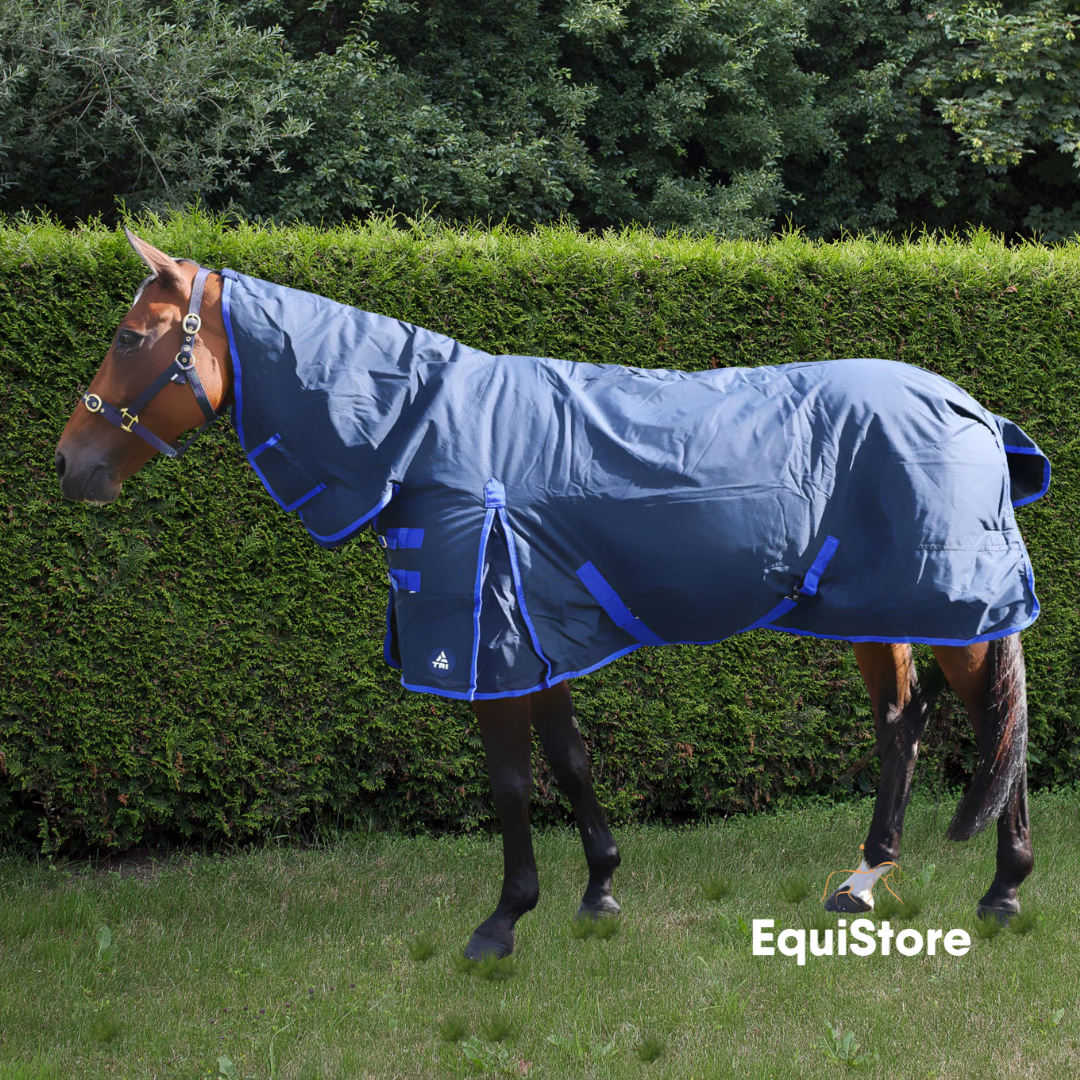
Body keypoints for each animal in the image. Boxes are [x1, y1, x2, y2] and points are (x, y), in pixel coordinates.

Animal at [55, 230, 1048, 960]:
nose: (70, 466)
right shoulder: (533, 631)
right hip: (886, 610)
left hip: (956, 609)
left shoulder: (483, 636)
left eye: (131, 338)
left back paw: (1003, 890)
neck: (425, 430)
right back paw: (864, 880)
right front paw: (600, 890)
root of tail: (970, 408)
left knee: (996, 724)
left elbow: (509, 781)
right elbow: (569, 761)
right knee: (904, 725)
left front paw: (503, 921)